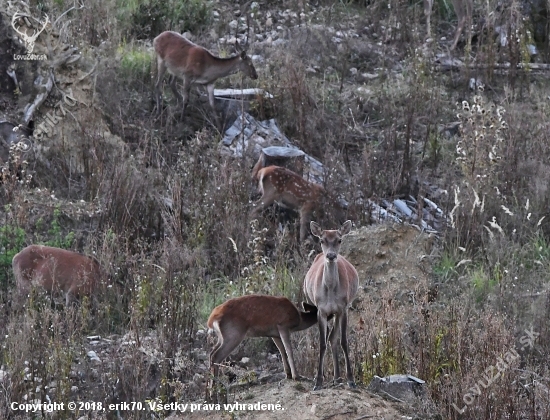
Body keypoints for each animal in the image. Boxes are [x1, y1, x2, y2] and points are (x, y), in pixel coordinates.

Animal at [304, 221, 360, 388]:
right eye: (322, 240)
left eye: (339, 240)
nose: (330, 255)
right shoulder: (321, 311)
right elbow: (322, 343)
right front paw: (318, 381)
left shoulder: (343, 308)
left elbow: (344, 341)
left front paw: (351, 380)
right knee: (329, 338)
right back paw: (333, 378)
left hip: (337, 312)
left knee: (333, 338)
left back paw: (338, 377)